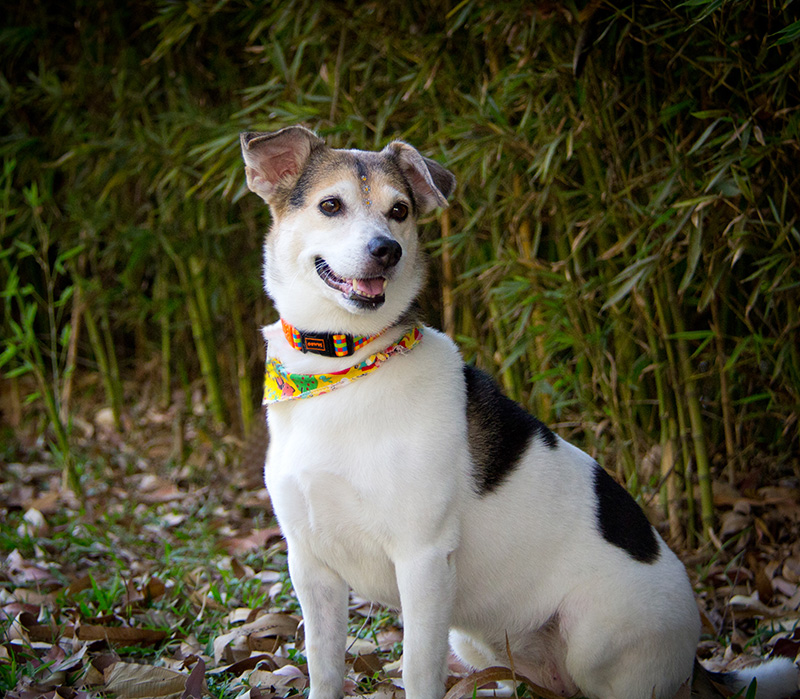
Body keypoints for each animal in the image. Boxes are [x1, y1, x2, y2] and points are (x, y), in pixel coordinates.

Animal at [239, 127, 800, 699]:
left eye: (400, 211)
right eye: (331, 205)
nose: (387, 250)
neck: (342, 367)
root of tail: (694, 662)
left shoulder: (423, 559)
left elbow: (419, 671)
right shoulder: (310, 564)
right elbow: (324, 667)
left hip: (593, 636)